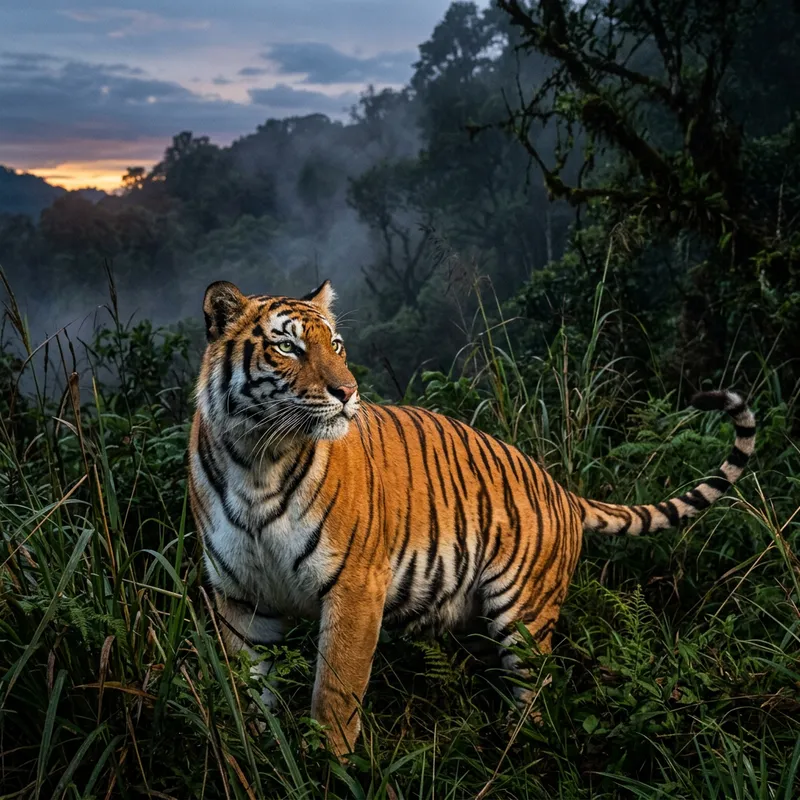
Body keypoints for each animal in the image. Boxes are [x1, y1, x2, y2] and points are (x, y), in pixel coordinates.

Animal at [188, 279, 756, 759]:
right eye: (288, 348)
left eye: (337, 345)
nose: (348, 393)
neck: (257, 462)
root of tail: (561, 489)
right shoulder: (239, 599)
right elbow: (249, 696)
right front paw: (260, 758)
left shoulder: (354, 589)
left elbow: (335, 697)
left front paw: (334, 770)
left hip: (523, 613)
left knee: (537, 692)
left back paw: (519, 753)